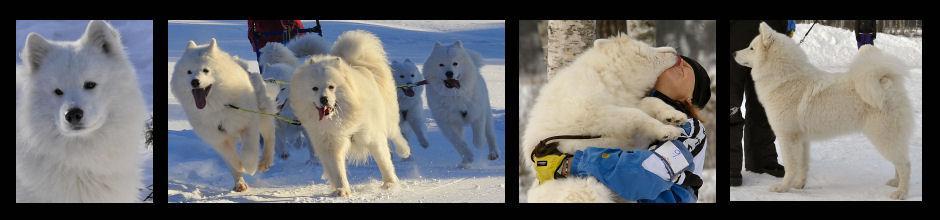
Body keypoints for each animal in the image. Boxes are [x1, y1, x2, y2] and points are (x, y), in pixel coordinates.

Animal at [736, 21, 912, 199]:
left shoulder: (788, 137)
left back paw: (901, 192)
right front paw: (799, 185)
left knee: (905, 164)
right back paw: (895, 183)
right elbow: (803, 165)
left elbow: (791, 167)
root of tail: (886, 80)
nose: (734, 53)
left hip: (883, 136)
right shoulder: (802, 139)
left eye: (751, 48)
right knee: (900, 161)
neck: (786, 78)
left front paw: (783, 187)